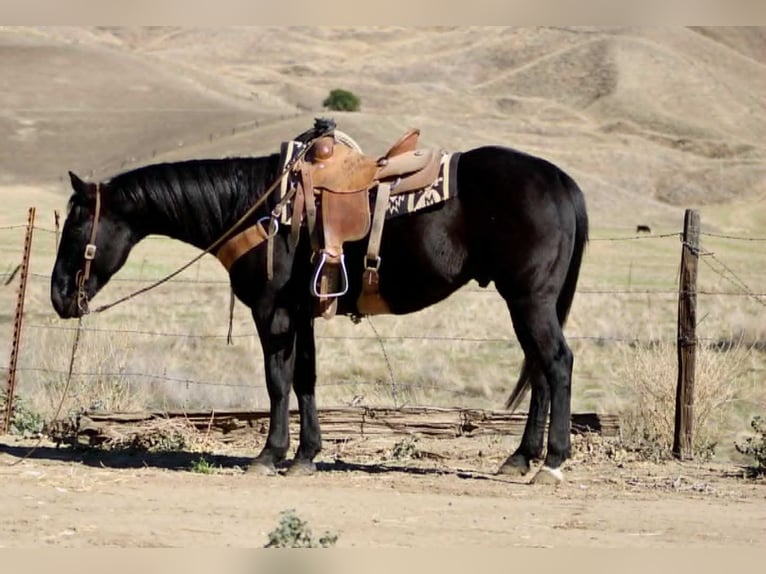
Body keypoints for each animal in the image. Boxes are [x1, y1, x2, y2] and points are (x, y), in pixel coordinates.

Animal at [51, 124, 588, 484]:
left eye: (75, 225)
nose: (59, 296)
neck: (258, 206)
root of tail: (561, 182)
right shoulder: (303, 314)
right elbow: (305, 379)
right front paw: (306, 456)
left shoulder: (272, 313)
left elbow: (277, 381)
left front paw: (269, 455)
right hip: (528, 303)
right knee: (541, 371)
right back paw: (519, 458)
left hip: (529, 300)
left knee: (557, 364)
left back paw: (552, 462)